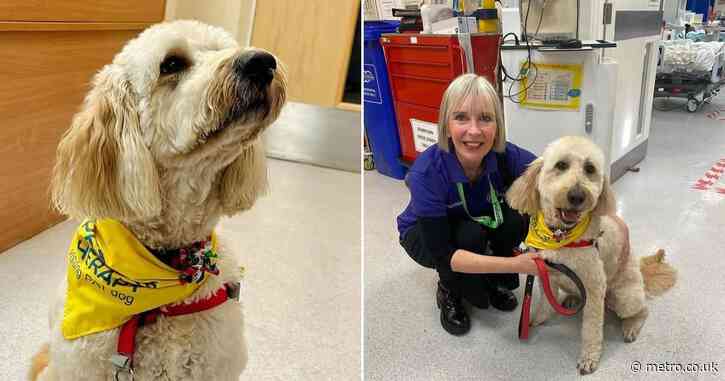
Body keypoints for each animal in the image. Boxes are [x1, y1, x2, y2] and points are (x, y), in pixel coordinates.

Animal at [506, 136, 676, 374]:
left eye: (590, 169)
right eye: (561, 165)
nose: (577, 195)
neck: (561, 236)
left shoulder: (595, 288)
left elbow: (591, 329)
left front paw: (589, 358)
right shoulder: (546, 275)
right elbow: (546, 302)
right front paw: (537, 319)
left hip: (625, 298)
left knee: (642, 310)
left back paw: (631, 326)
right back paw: (571, 300)